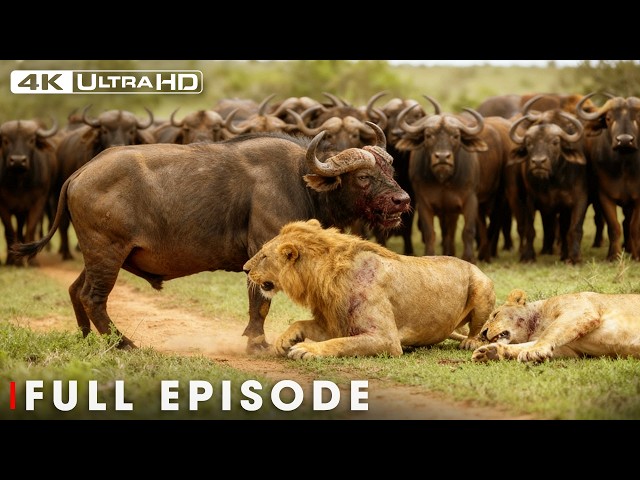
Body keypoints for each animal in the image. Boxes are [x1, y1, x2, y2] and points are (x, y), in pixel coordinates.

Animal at [242, 219, 495, 359]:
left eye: (263, 256)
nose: (245, 269)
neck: (322, 280)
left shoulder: (386, 339)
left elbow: (341, 344)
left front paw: (307, 349)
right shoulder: (336, 323)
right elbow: (301, 323)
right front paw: (285, 340)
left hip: (482, 285)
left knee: (477, 328)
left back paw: (471, 342)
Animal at [471, 288, 640, 363]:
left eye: (495, 314)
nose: (483, 333)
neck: (536, 327)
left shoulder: (579, 310)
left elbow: (550, 332)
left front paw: (533, 352)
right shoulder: (569, 350)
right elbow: (522, 346)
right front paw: (490, 352)